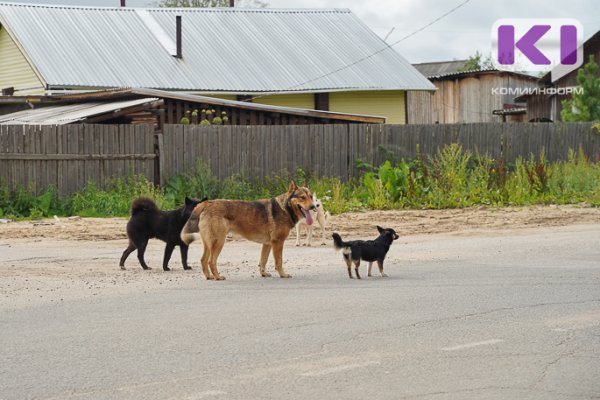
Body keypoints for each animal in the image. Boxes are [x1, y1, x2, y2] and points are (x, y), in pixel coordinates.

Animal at [182, 181, 314, 282]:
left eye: (311, 196)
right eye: (302, 197)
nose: (314, 207)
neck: (285, 207)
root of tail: (208, 203)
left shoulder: (267, 244)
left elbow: (263, 261)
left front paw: (263, 274)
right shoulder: (278, 243)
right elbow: (279, 262)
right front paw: (283, 274)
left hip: (209, 244)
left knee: (203, 260)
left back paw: (209, 276)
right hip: (219, 242)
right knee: (211, 261)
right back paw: (217, 277)